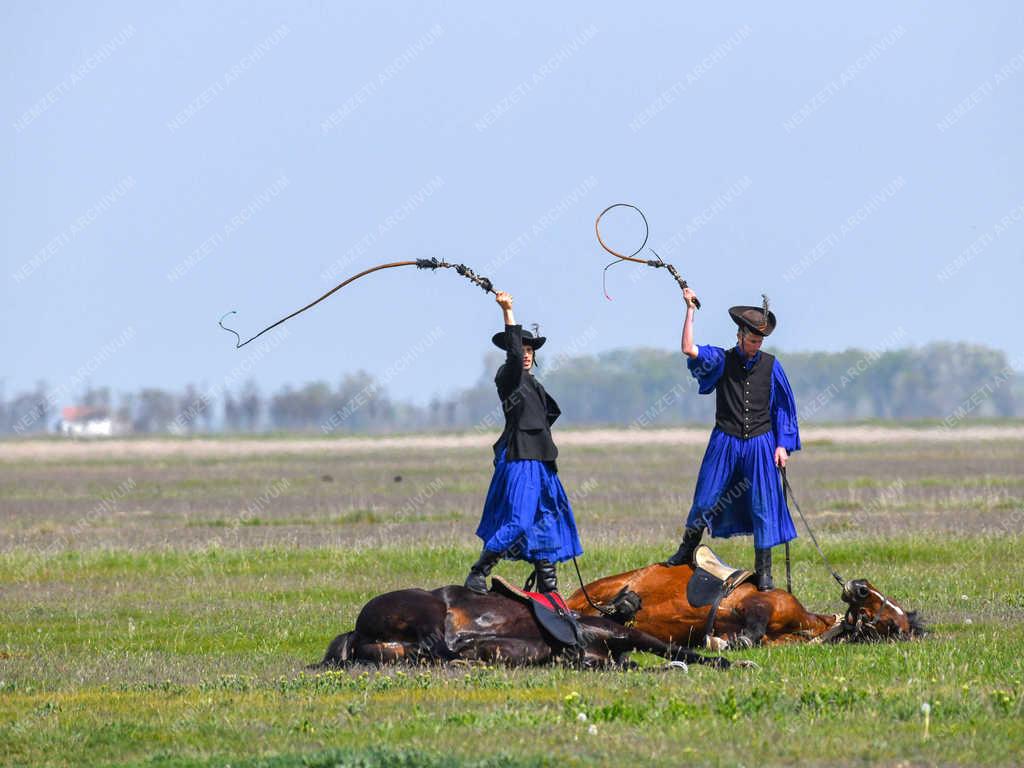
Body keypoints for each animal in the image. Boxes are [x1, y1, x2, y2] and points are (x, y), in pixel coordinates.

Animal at [565, 548, 925, 651]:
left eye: (893, 624)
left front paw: (722, 642)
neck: (805, 623)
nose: (860, 586)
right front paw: (724, 642)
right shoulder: (756, 605)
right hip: (600, 590)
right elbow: (752, 628)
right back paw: (621, 603)